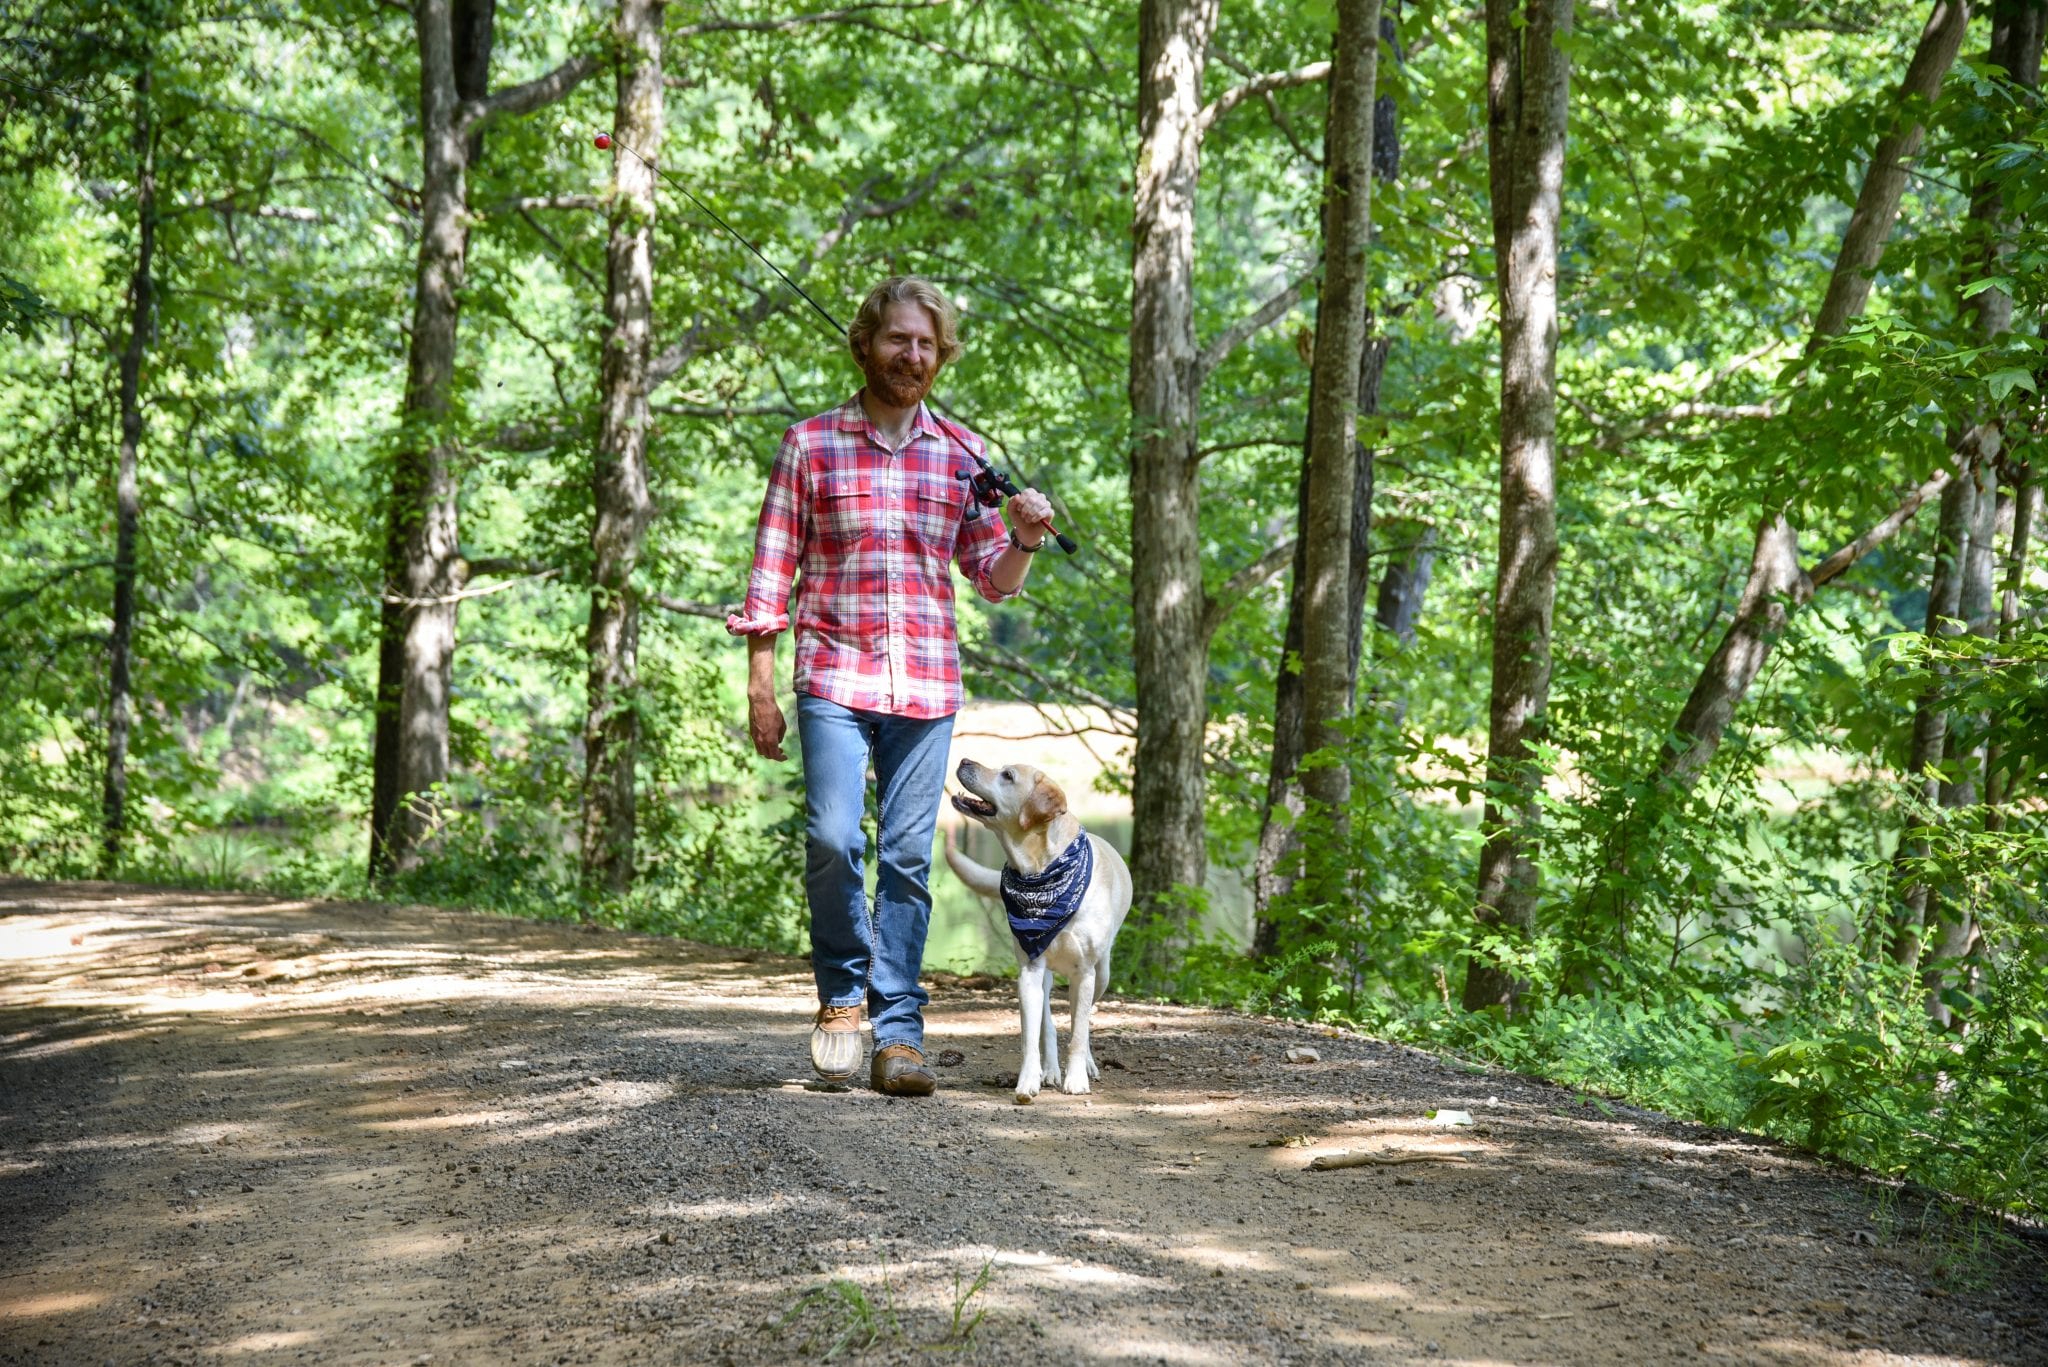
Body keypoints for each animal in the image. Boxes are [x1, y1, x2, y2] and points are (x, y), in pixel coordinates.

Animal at [942, 758, 1138, 1098]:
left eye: (1007, 775)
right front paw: (1028, 1080)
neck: (1040, 871)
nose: (965, 760)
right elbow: (1031, 1037)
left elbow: (1078, 1032)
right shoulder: (1030, 971)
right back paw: (1050, 1070)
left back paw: (1085, 1065)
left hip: (1102, 973)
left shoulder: (1085, 973)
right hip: (1043, 976)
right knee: (1048, 1024)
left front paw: (1077, 1078)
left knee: (1082, 1021)